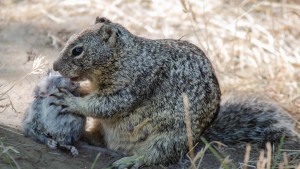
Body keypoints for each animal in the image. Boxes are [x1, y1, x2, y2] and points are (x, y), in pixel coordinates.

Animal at [50, 17, 298, 168]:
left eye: (77, 50)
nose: (54, 66)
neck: (125, 57)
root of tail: (199, 138)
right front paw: (77, 89)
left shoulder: (132, 85)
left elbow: (106, 105)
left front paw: (70, 100)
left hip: (167, 138)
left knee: (155, 156)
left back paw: (131, 160)